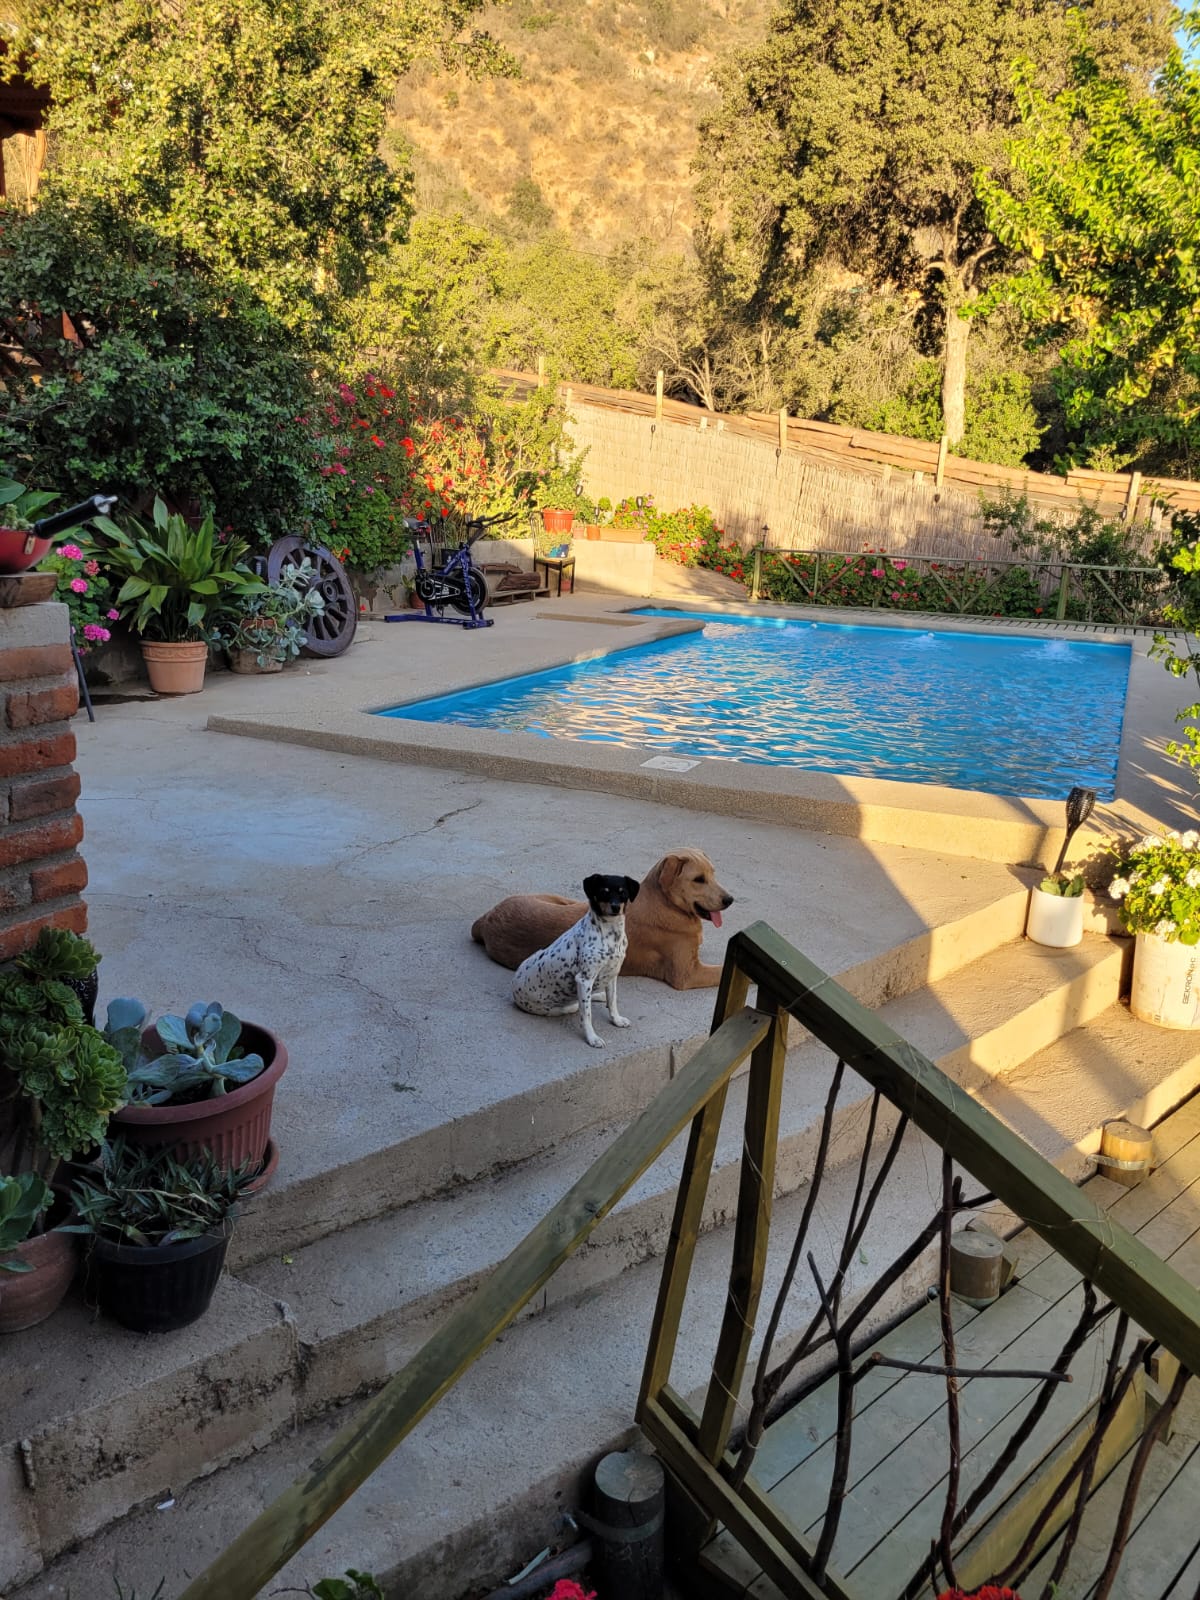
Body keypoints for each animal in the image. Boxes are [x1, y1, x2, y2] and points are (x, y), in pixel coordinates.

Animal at [474, 848, 734, 990]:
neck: (666, 903)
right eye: (698, 879)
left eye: (713, 873)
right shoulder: (686, 974)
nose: (730, 899)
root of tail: (486, 919)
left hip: (559, 899)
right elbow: (721, 971)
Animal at [512, 874, 639, 1048]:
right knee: (577, 1005)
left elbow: (613, 1001)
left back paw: (599, 995)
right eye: (604, 891)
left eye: (623, 892)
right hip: (557, 1007)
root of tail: (514, 987)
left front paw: (617, 1020)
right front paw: (592, 1038)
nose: (615, 907)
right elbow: (587, 1015)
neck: (610, 936)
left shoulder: (612, 975)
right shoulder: (584, 980)